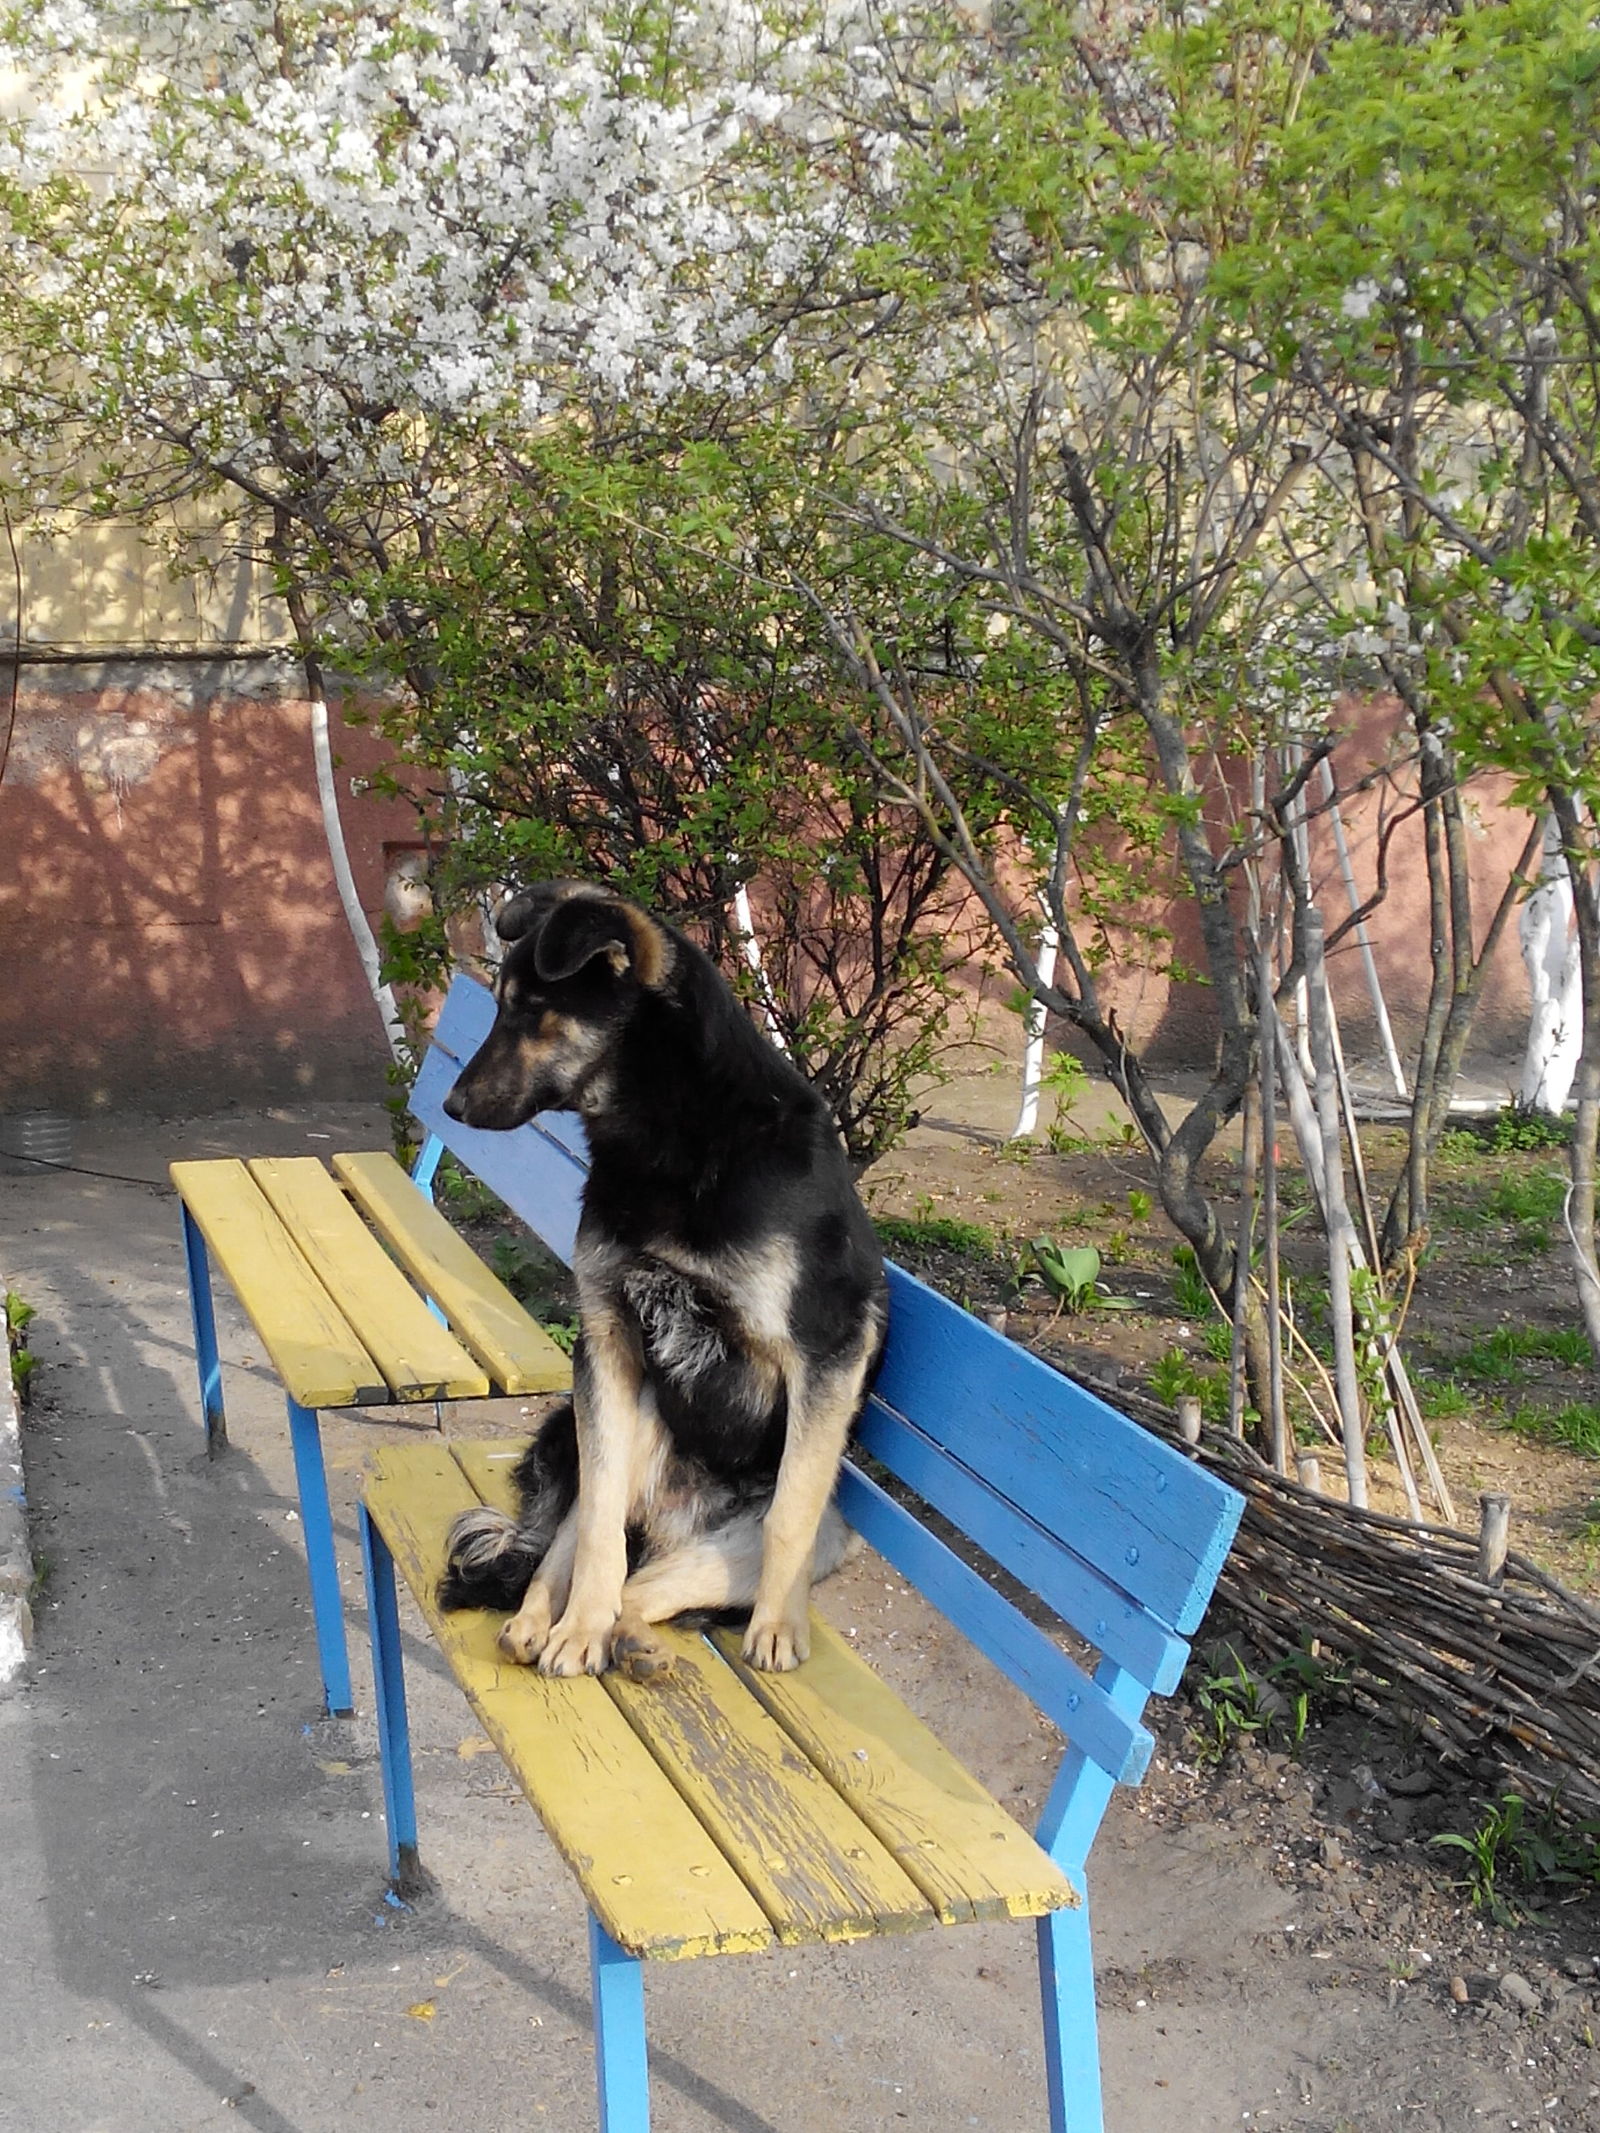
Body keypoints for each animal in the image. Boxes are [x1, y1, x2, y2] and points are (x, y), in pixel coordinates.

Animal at [439, 883, 891, 1680]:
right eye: (499, 1006)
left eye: (531, 1011)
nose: (450, 1107)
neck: (674, 1138)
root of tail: (681, 1519)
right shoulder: (607, 1337)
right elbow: (593, 1533)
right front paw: (575, 1629)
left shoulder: (828, 1352)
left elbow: (790, 1517)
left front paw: (777, 1626)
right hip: (628, 1419)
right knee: (592, 1547)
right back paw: (550, 1624)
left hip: (780, 1537)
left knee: (653, 1582)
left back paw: (637, 1638)